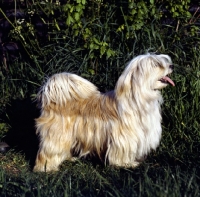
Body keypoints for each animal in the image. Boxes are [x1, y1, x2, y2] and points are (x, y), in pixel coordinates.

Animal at [32, 53, 173, 172]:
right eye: (156, 65)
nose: (171, 66)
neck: (138, 98)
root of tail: (50, 99)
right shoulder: (124, 137)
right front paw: (126, 164)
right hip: (57, 136)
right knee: (47, 153)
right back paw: (45, 168)